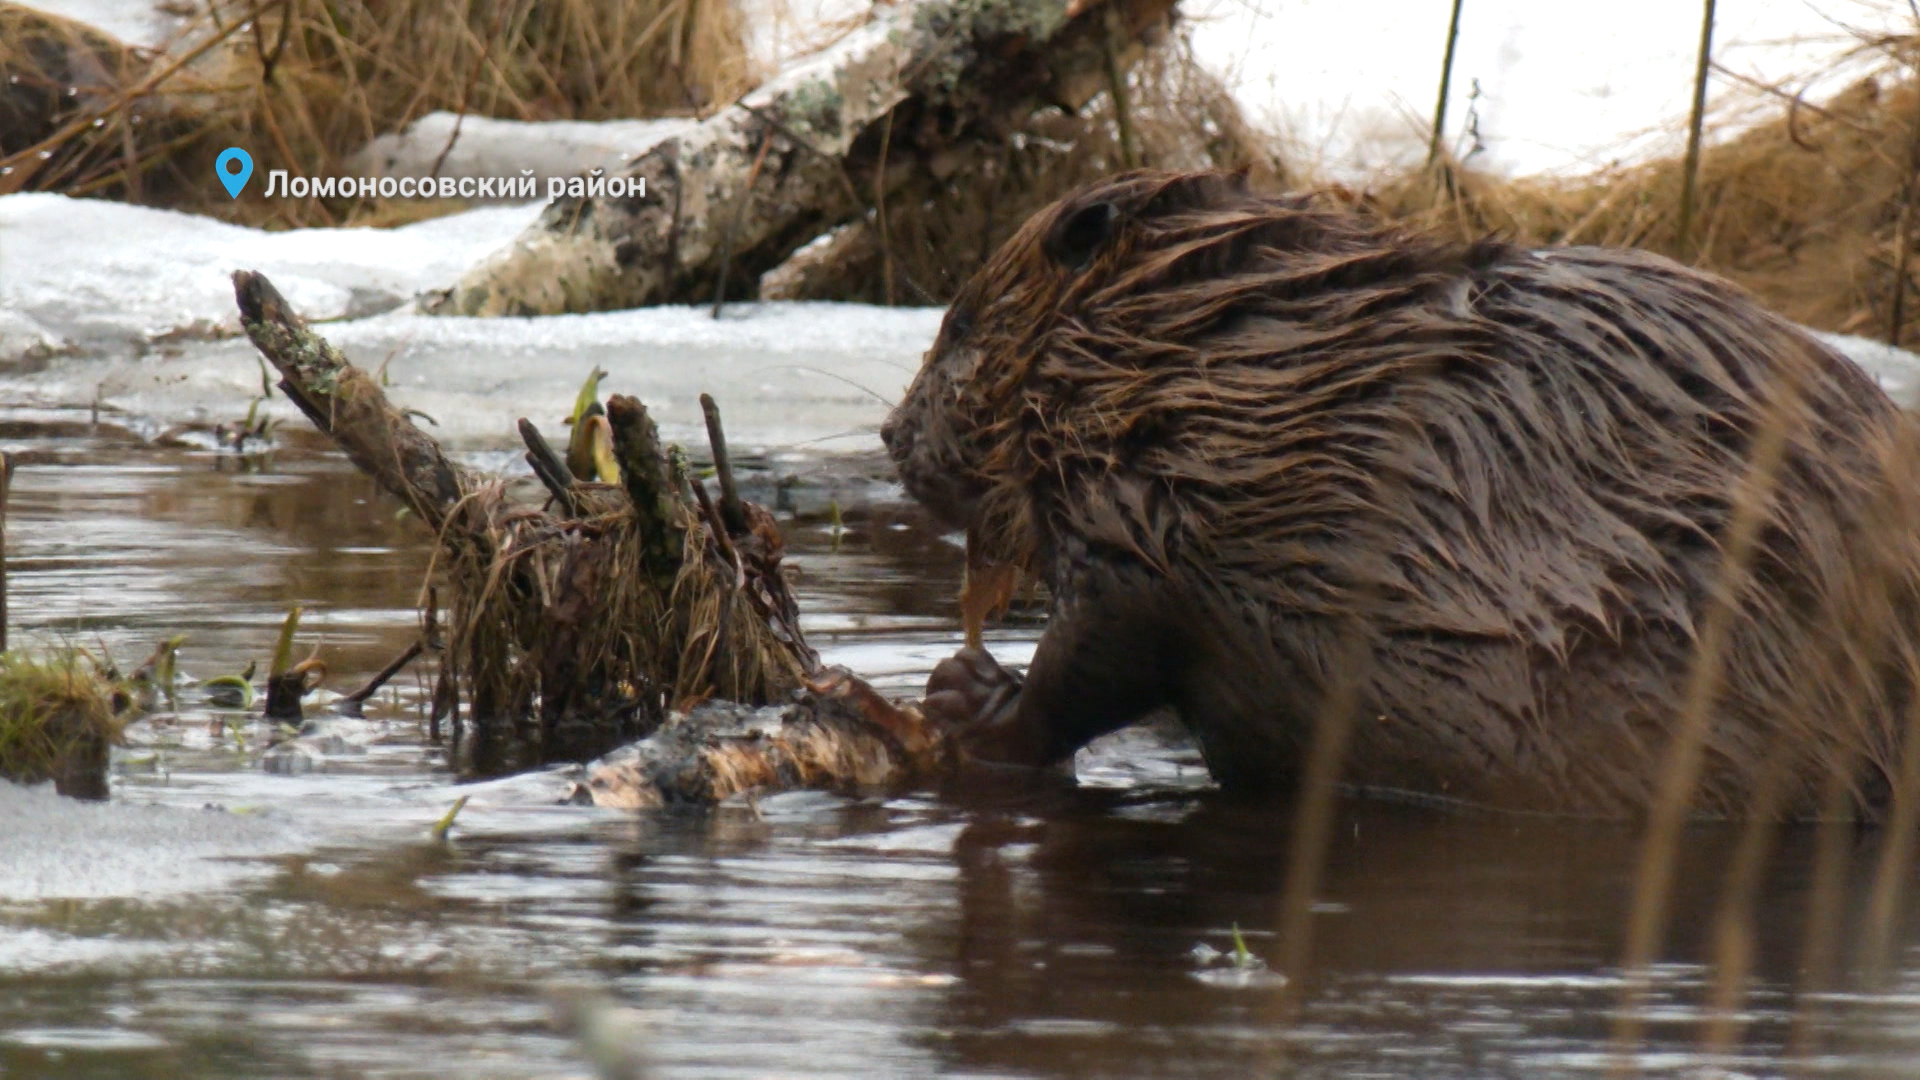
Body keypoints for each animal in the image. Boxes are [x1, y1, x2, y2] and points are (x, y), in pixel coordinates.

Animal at [879, 168, 1920, 810]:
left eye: (961, 325)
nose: (891, 435)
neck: (1224, 355)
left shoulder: (1154, 501)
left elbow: (1100, 651)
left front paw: (965, 697)